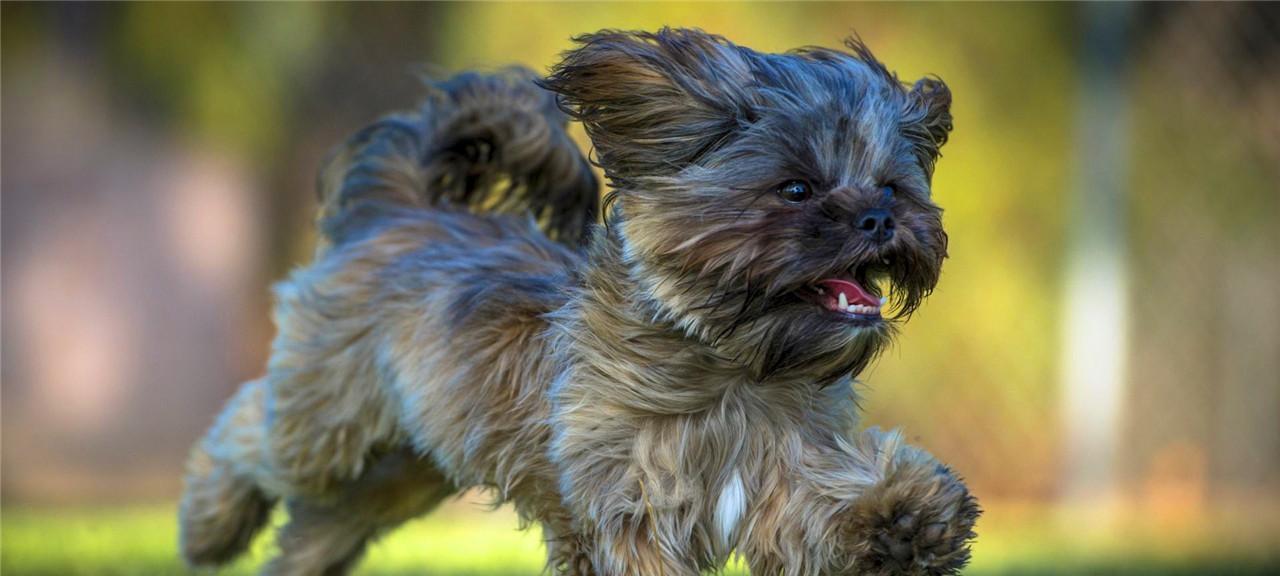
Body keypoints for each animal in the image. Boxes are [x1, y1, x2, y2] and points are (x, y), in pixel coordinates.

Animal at [180, 28, 977, 576]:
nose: (879, 219)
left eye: (892, 187)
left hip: (407, 465)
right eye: (797, 188)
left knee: (323, 523)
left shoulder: (780, 476)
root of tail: (400, 210)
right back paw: (208, 526)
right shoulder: (630, 509)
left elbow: (823, 504)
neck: (731, 371)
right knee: (246, 429)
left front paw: (908, 517)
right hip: (327, 419)